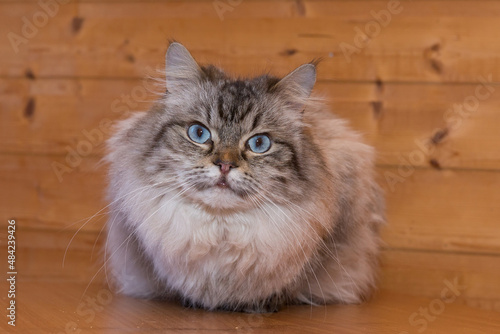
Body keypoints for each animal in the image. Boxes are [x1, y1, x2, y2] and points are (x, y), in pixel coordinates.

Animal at [104, 42, 386, 314]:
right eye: (199, 133)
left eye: (259, 144)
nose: (225, 165)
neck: (221, 231)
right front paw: (195, 301)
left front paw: (259, 305)